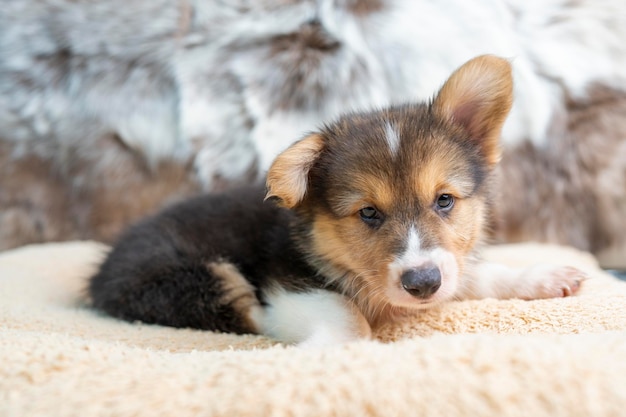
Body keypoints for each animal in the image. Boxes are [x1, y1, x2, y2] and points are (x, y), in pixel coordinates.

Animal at [88, 56, 584, 348]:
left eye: (444, 200)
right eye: (368, 213)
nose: (422, 283)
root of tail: (105, 262)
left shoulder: (448, 264)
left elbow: (475, 272)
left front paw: (541, 276)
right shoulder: (291, 283)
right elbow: (349, 319)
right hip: (199, 280)